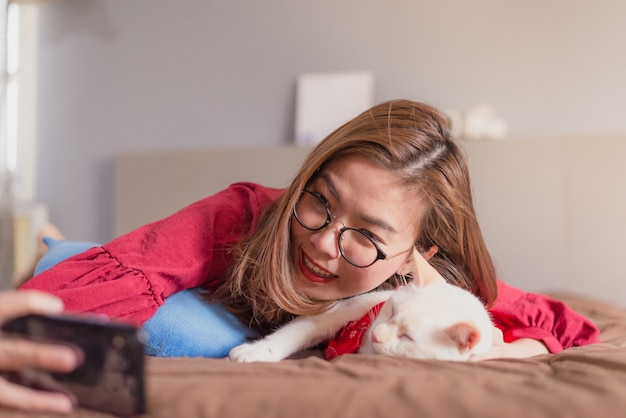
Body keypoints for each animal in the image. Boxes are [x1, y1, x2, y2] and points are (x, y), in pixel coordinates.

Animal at [228, 280, 492, 364]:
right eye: (392, 311)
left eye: (407, 338)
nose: (376, 334)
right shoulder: (342, 311)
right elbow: (297, 332)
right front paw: (257, 351)